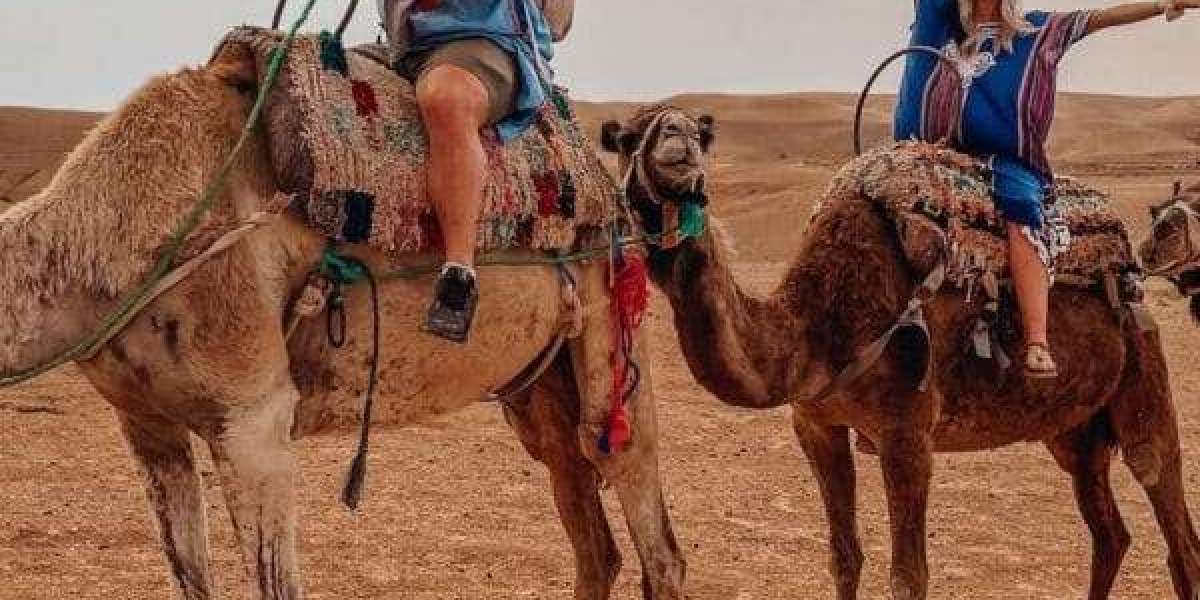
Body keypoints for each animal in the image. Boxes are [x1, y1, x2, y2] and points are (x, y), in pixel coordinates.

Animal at [0, 50, 686, 599]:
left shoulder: (251, 419)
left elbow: (276, 585)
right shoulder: (145, 423)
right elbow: (191, 576)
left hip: (612, 316)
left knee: (642, 511)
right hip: (537, 378)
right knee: (586, 520)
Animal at [601, 106, 1200, 600]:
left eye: (702, 134)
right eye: (627, 137)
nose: (677, 138)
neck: (818, 327)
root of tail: (1130, 279)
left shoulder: (907, 434)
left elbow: (909, 577)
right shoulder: (816, 425)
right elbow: (845, 558)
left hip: (1143, 379)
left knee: (1173, 522)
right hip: (1073, 430)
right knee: (1110, 533)